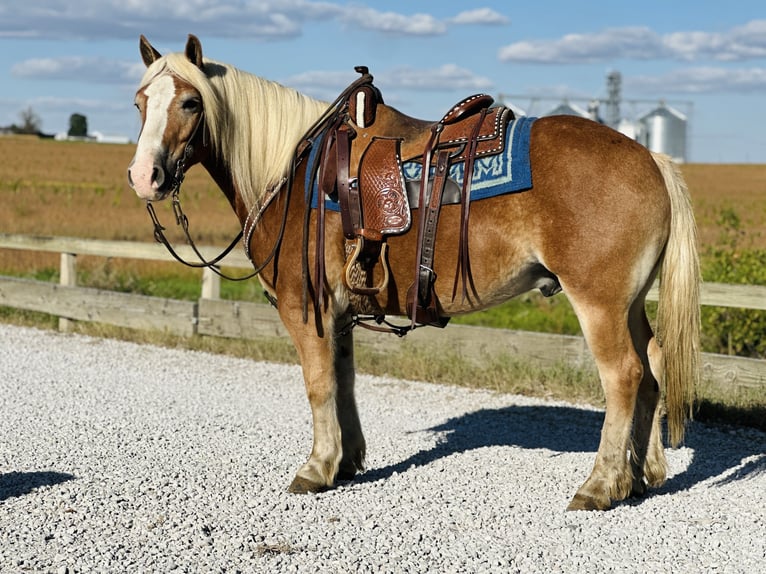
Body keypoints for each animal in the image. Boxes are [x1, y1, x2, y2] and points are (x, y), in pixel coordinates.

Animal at [127, 35, 704, 512]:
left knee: (624, 376)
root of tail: (651, 159)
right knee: (653, 365)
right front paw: (348, 460)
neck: (294, 173)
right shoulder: (340, 311)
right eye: (139, 103)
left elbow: (318, 384)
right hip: (629, 303)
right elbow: (344, 380)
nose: (144, 177)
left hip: (599, 303)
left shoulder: (306, 306)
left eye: (191, 102)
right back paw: (642, 474)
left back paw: (600, 484)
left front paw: (316, 468)